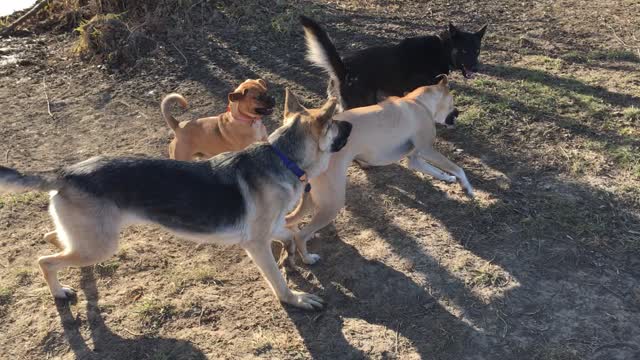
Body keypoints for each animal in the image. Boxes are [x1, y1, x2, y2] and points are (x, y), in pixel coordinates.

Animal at [288, 75, 472, 264]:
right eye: (452, 102)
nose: (458, 112)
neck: (420, 102)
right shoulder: (428, 150)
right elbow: (458, 168)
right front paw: (468, 188)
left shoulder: (415, 160)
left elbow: (437, 171)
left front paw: (448, 179)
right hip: (332, 203)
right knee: (300, 235)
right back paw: (308, 258)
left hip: (313, 198)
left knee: (290, 222)